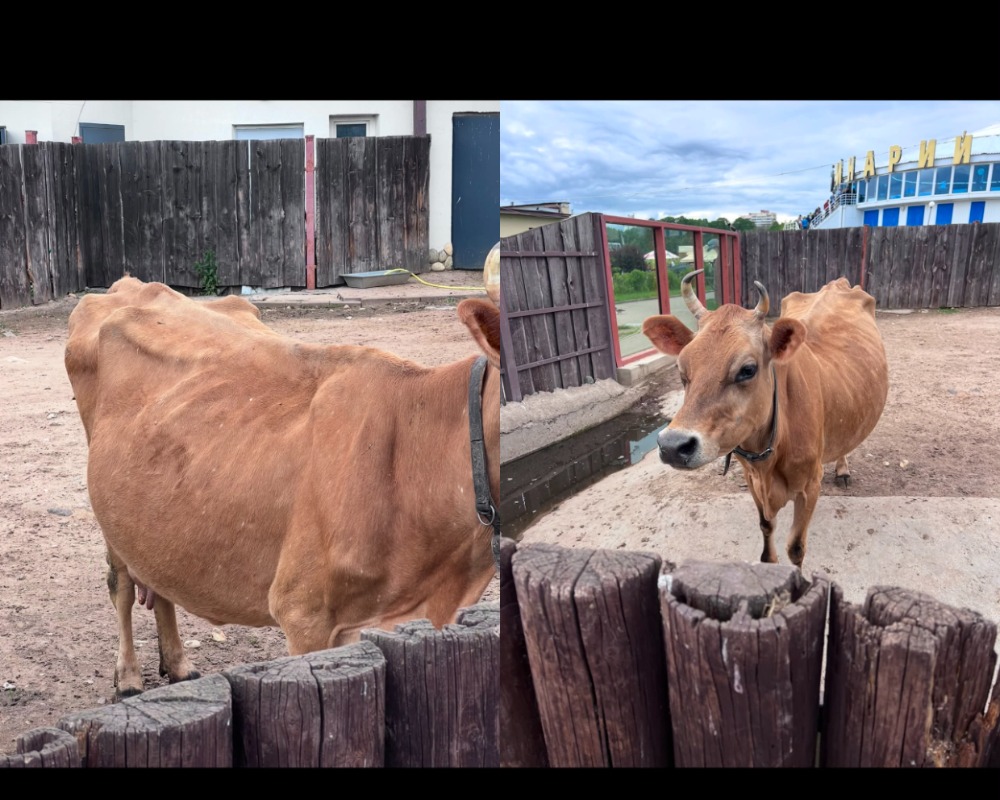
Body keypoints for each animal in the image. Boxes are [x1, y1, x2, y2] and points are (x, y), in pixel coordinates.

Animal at [65, 276, 500, 698]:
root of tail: (131, 284)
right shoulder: (305, 613)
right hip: (109, 511)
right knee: (121, 583)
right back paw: (128, 676)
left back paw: (180, 666)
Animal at [641, 269, 888, 568]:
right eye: (681, 369)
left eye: (747, 369)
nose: (673, 446)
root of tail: (836, 284)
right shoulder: (752, 480)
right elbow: (766, 528)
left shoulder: (811, 484)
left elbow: (796, 547)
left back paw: (842, 469)